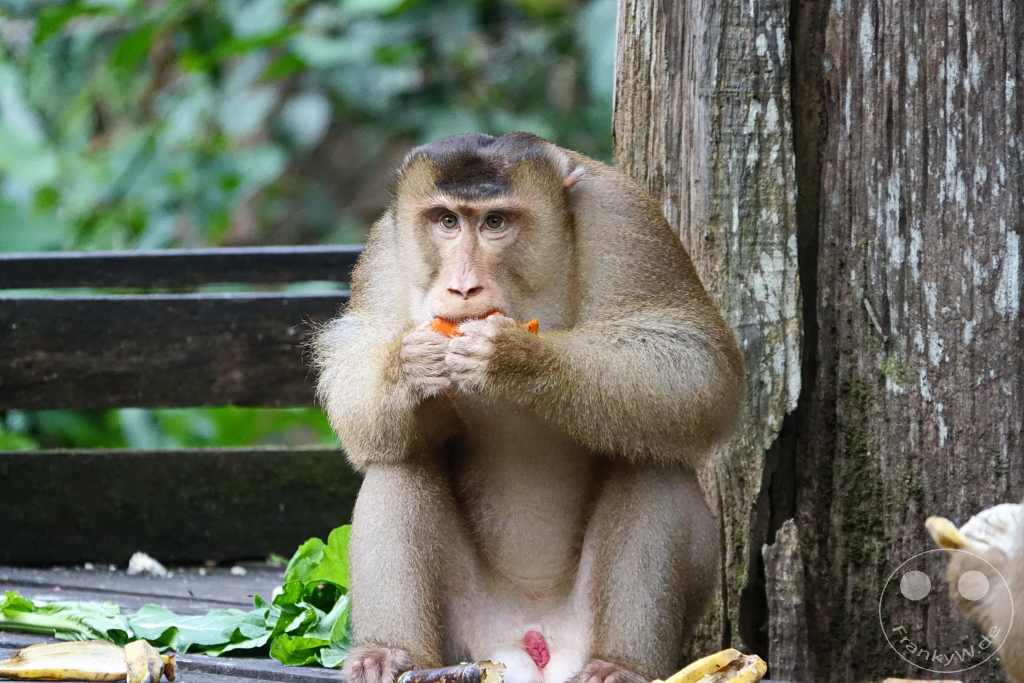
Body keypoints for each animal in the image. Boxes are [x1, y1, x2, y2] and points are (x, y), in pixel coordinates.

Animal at [312, 132, 745, 683]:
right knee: (399, 460)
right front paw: (410, 367)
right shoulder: (386, 251)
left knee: (653, 458)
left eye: (495, 222)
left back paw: (620, 664)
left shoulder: (624, 217)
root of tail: (533, 646)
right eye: (447, 221)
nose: (462, 287)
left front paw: (514, 356)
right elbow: (355, 384)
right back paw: (389, 653)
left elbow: (699, 362)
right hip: (466, 634)